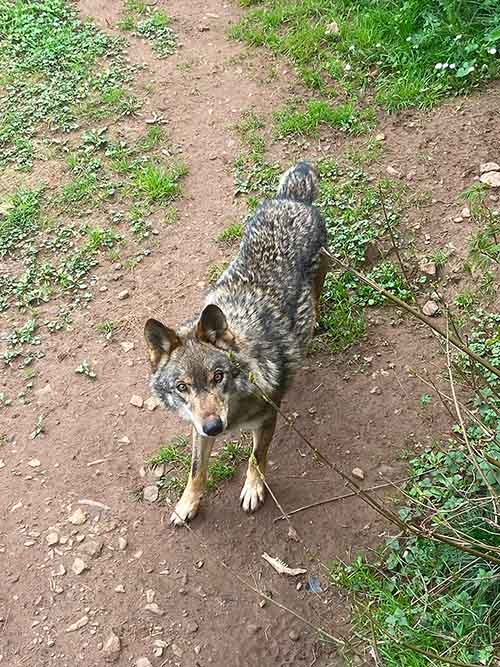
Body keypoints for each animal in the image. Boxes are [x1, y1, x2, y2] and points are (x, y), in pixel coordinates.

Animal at [144, 161, 328, 525]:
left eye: (218, 377)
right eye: (182, 387)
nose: (215, 427)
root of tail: (292, 199)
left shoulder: (269, 417)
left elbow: (256, 457)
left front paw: (254, 489)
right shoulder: (198, 429)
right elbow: (196, 471)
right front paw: (187, 505)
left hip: (322, 274)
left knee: (316, 299)